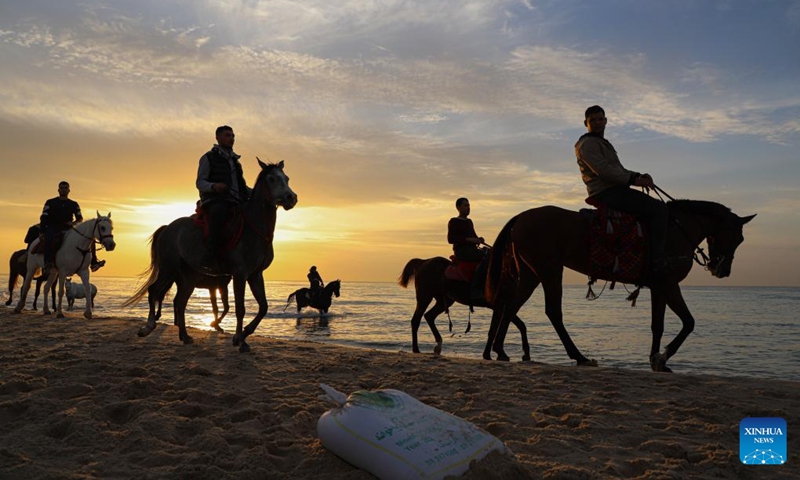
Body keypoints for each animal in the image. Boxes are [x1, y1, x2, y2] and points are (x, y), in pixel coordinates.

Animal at [123, 159, 298, 350]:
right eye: (272, 179)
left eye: (287, 178)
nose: (291, 198)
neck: (254, 229)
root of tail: (168, 227)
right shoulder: (240, 274)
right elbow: (240, 308)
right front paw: (240, 340)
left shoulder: (255, 274)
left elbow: (263, 307)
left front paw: (242, 335)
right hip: (168, 268)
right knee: (155, 290)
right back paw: (147, 328)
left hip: (188, 276)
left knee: (180, 302)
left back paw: (185, 336)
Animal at [396, 256, 532, 362]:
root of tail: (424, 261)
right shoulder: (499, 307)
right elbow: (493, 331)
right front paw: (490, 355)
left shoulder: (504, 307)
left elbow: (521, 326)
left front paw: (526, 354)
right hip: (425, 297)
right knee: (416, 320)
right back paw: (416, 349)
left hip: (444, 300)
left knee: (429, 316)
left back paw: (438, 344)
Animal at [484, 199, 752, 372]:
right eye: (738, 237)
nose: (722, 271)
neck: (677, 230)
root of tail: (520, 217)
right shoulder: (669, 284)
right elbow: (688, 322)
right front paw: (663, 358)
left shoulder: (659, 287)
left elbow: (658, 325)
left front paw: (655, 359)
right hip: (549, 271)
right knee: (552, 312)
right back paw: (579, 357)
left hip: (532, 274)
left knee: (511, 306)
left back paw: (500, 350)